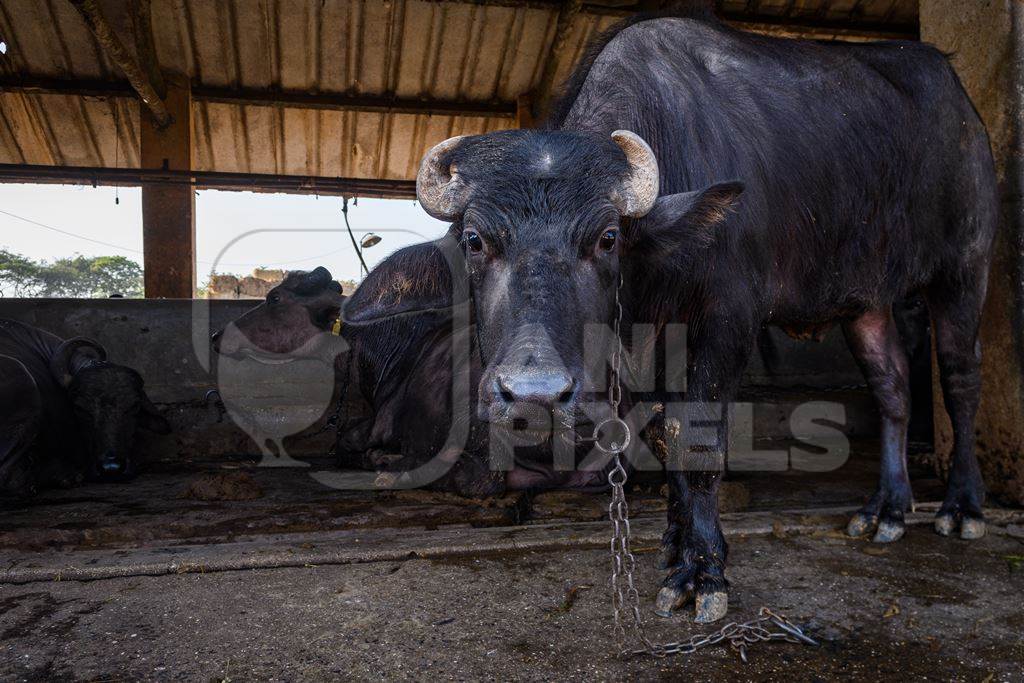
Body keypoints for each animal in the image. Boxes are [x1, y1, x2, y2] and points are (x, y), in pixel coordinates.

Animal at [207, 264, 614, 493]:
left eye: (274, 298)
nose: (216, 335)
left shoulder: (378, 423)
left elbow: (345, 441)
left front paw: (376, 457)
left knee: (477, 478)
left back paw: (391, 468)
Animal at [346, 9, 999, 626]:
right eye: (476, 240)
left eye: (607, 238)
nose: (534, 395)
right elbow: (663, 436)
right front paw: (674, 545)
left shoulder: (727, 318)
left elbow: (697, 437)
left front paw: (703, 572)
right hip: (869, 297)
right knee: (892, 388)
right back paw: (887, 509)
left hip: (966, 268)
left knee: (960, 379)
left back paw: (961, 508)